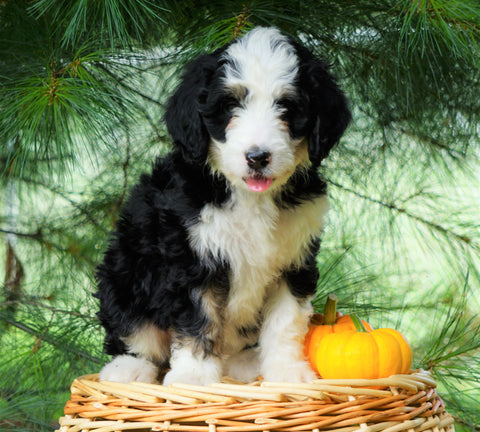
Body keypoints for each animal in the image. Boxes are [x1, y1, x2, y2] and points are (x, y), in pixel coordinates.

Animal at [95, 27, 350, 384]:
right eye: (230, 105)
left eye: (286, 106)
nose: (257, 157)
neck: (249, 196)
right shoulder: (192, 258)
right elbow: (199, 318)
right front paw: (194, 377)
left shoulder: (295, 258)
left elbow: (286, 321)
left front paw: (287, 371)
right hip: (124, 272)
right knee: (136, 334)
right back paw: (128, 369)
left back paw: (245, 364)